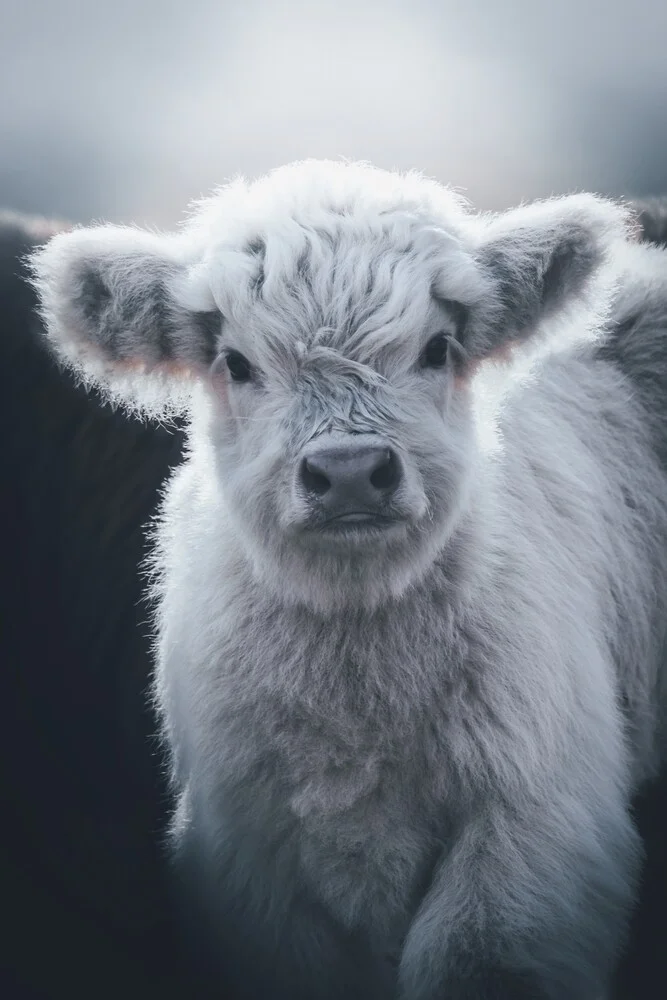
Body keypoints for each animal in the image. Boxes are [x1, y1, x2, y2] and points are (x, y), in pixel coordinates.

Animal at [28, 162, 667, 1000]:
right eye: (236, 363)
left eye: (436, 348)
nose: (351, 472)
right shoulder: (250, 869)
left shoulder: (535, 834)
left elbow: (473, 959)